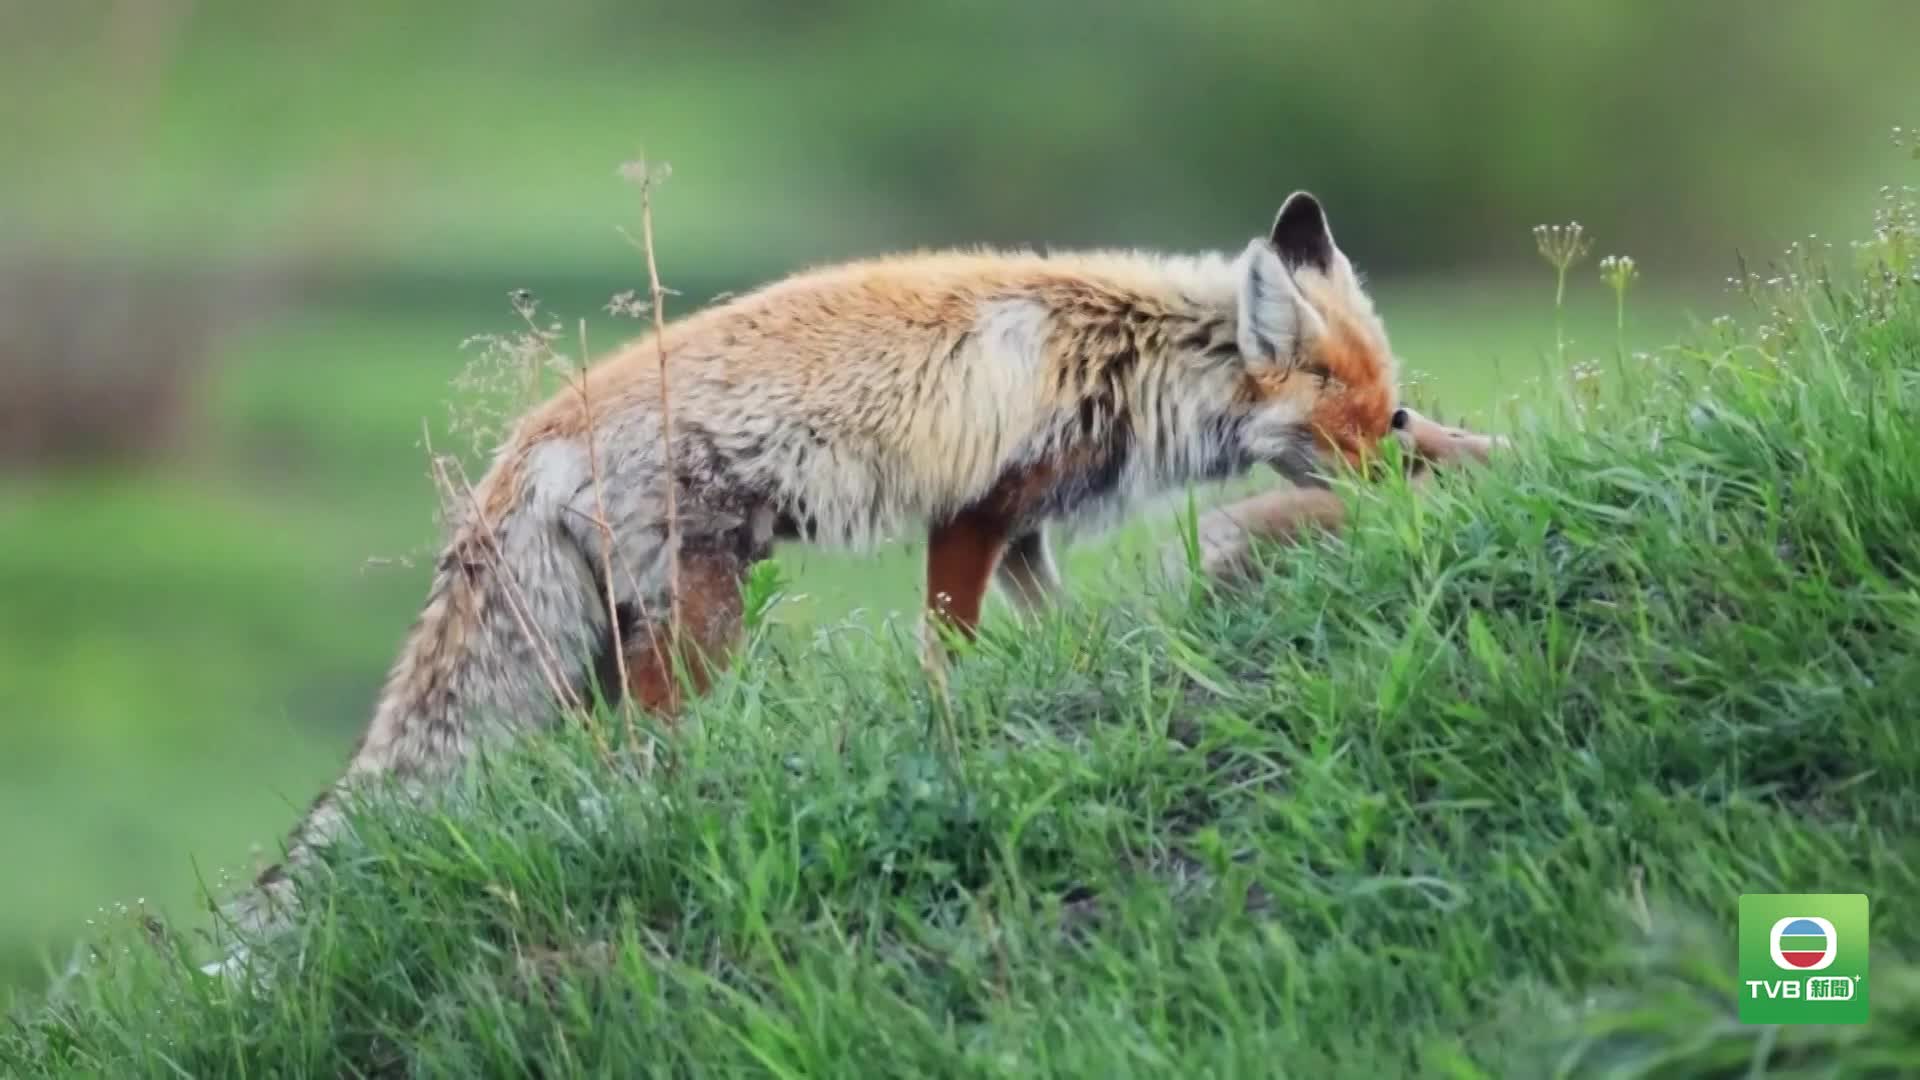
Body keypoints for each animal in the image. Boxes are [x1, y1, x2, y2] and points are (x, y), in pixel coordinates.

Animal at [212, 190, 1477, 956]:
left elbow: (1055, 629)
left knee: (588, 756)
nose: (1386, 483)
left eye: (1391, 409)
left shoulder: (1025, 529)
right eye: (1356, 418)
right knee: (645, 747)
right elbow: (949, 651)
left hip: (609, 647)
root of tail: (529, 440)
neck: (1128, 350)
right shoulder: (972, 511)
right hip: (698, 624)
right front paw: (955, 727)